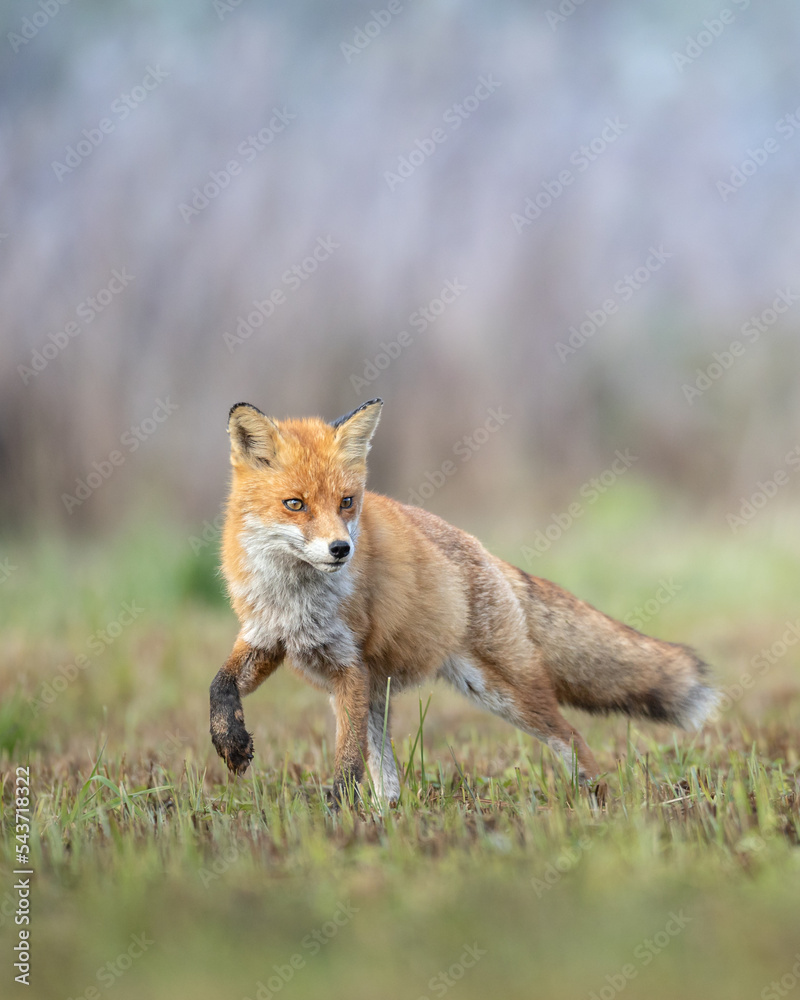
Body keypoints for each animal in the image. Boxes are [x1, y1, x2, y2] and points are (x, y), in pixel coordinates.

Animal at [210, 398, 717, 802]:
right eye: (295, 504)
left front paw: (336, 813)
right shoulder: (267, 640)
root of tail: (485, 552)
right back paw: (387, 816)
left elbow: (347, 761)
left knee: (571, 735)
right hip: (379, 695)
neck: (292, 595)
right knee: (389, 777)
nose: (341, 550)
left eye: (347, 502)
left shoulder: (346, 663)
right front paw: (231, 744)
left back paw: (599, 802)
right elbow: (220, 686)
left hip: (499, 690)